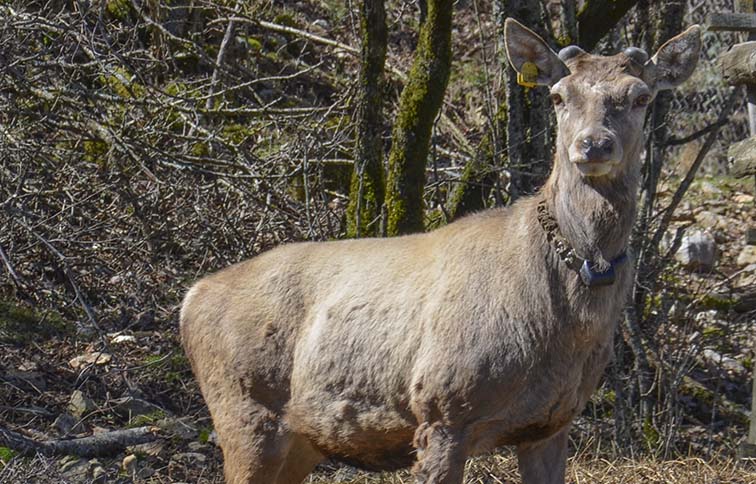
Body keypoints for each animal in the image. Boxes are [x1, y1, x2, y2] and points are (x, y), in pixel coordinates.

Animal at [180, 18, 700, 484]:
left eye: (640, 96)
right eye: (558, 96)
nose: (593, 145)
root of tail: (191, 297)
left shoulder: (553, 424)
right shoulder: (442, 408)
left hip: (300, 438)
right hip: (244, 408)